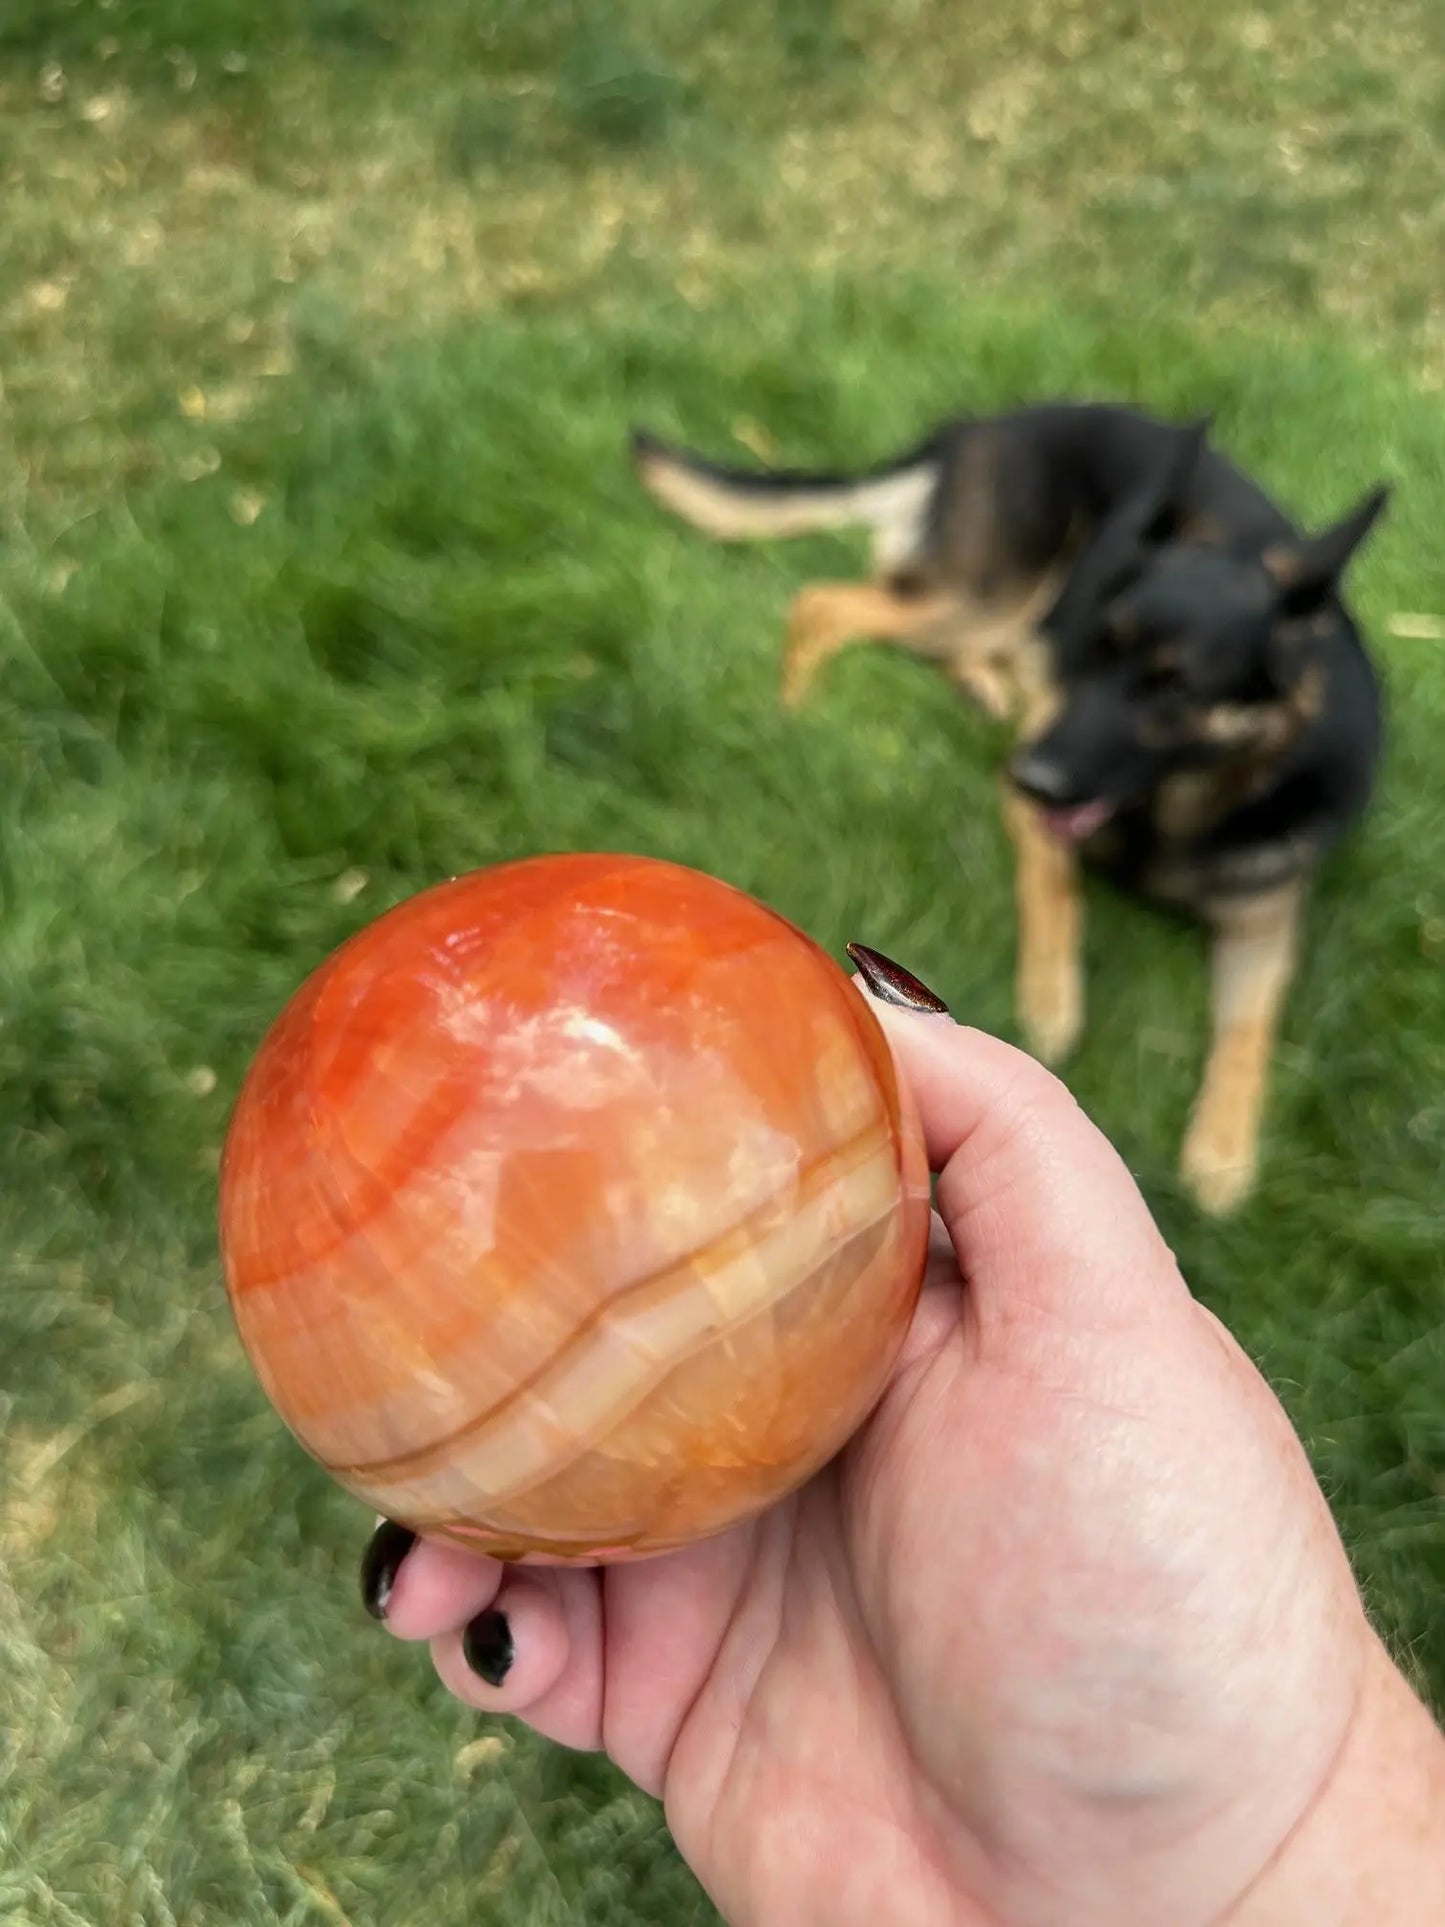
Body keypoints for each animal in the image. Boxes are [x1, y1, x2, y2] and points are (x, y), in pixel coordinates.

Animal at [631, 402, 1394, 1217]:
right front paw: (1053, 1002)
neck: (1168, 814)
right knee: (825, 605)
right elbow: (1054, 889)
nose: (1029, 775)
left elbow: (1251, 1028)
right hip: (988, 599)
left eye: (1174, 688)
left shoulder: (1267, 912)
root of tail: (980, 425)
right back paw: (794, 707)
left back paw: (979, 686)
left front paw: (1222, 1153)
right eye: (1093, 653)